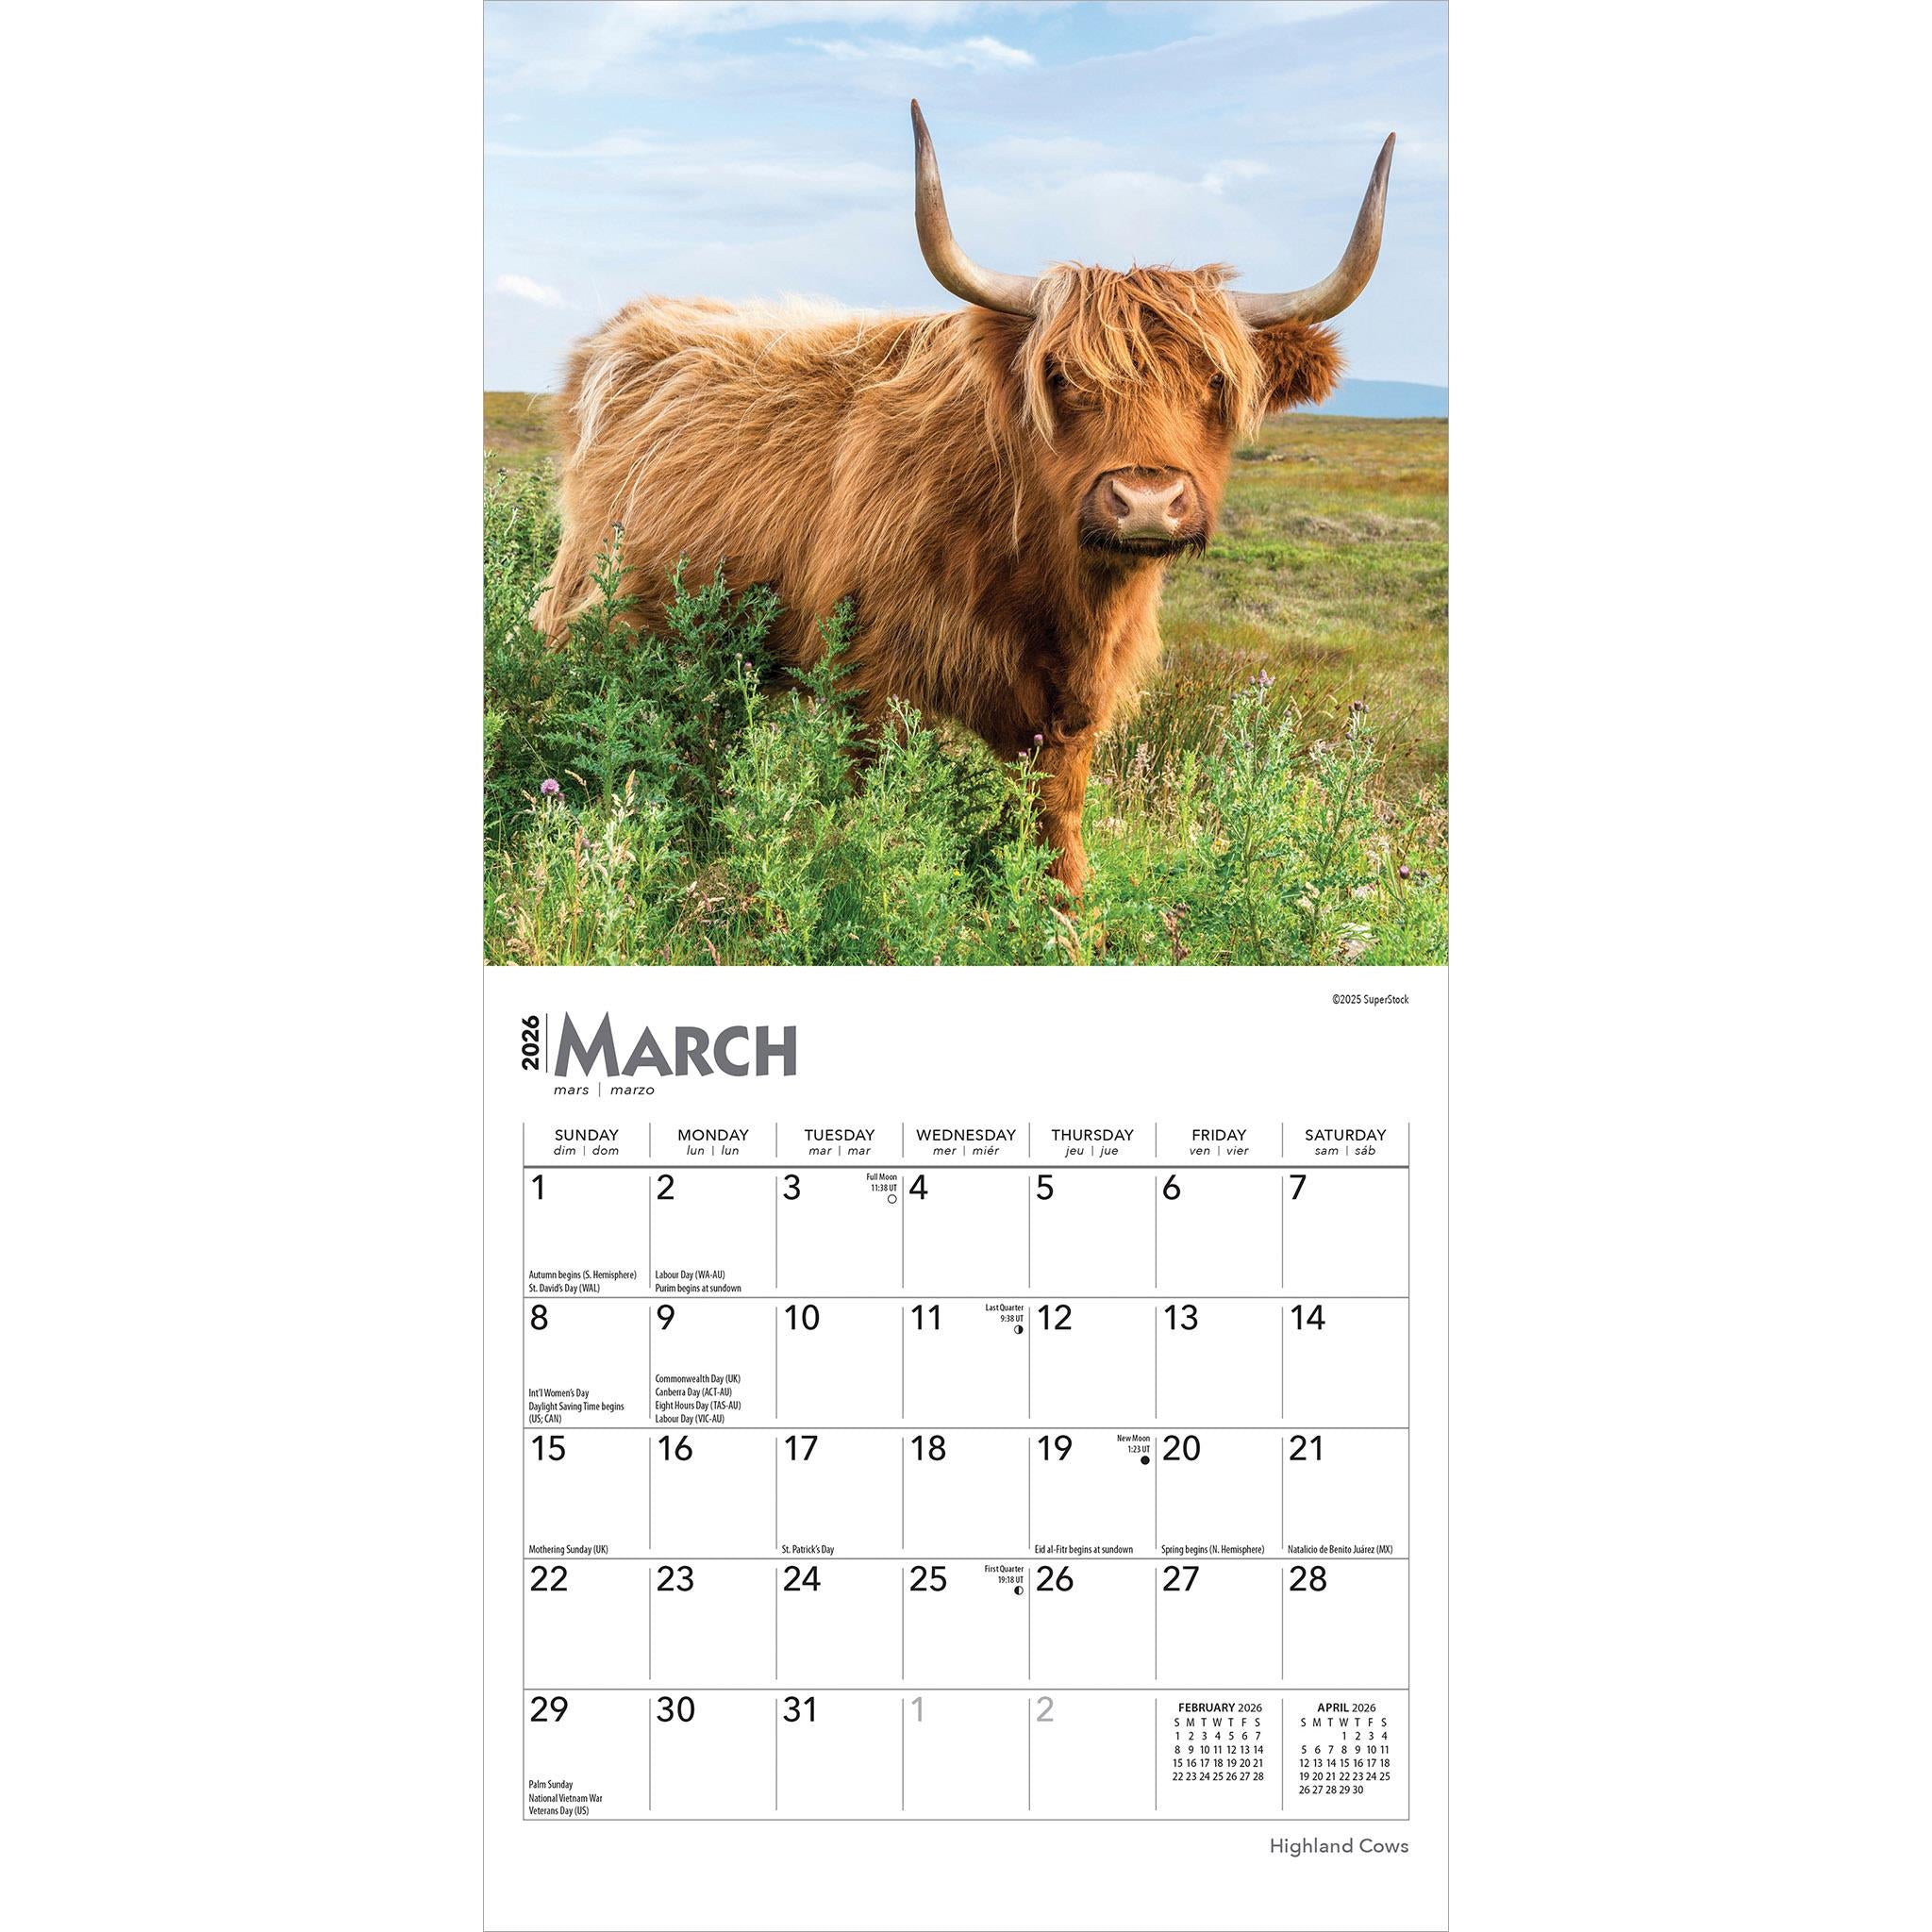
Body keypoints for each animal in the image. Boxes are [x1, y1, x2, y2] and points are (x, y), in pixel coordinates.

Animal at [534, 103, 1393, 894]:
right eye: (1062, 376)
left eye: (1216, 380)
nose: (1146, 500)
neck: (1040, 577)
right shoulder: (870, 676)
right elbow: (874, 810)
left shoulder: (1071, 708)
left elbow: (1056, 824)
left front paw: (1068, 920)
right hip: (593, 609)